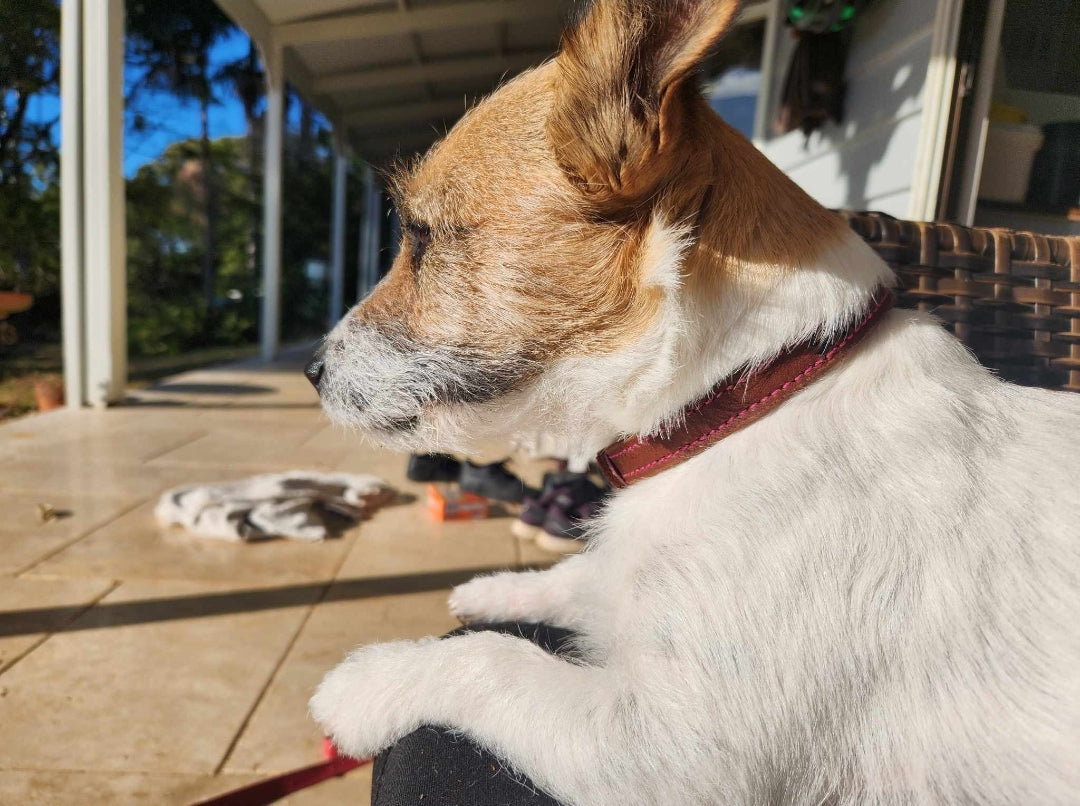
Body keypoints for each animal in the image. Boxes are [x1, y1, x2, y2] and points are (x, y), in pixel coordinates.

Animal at [302, 1, 1080, 799]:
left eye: (423, 237)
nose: (310, 368)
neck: (749, 393)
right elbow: (585, 575)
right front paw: (501, 588)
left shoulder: (664, 755)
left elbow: (490, 659)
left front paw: (366, 683)